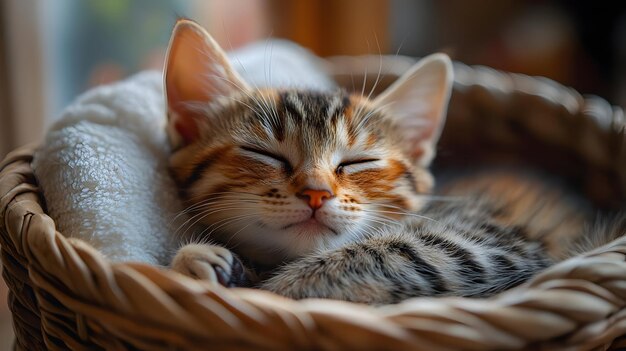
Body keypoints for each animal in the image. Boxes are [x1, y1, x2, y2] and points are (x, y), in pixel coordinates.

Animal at [163, 20, 620, 306]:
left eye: (358, 161)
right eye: (265, 154)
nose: (316, 193)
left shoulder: (486, 243)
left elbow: (381, 254)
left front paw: (268, 289)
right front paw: (208, 266)